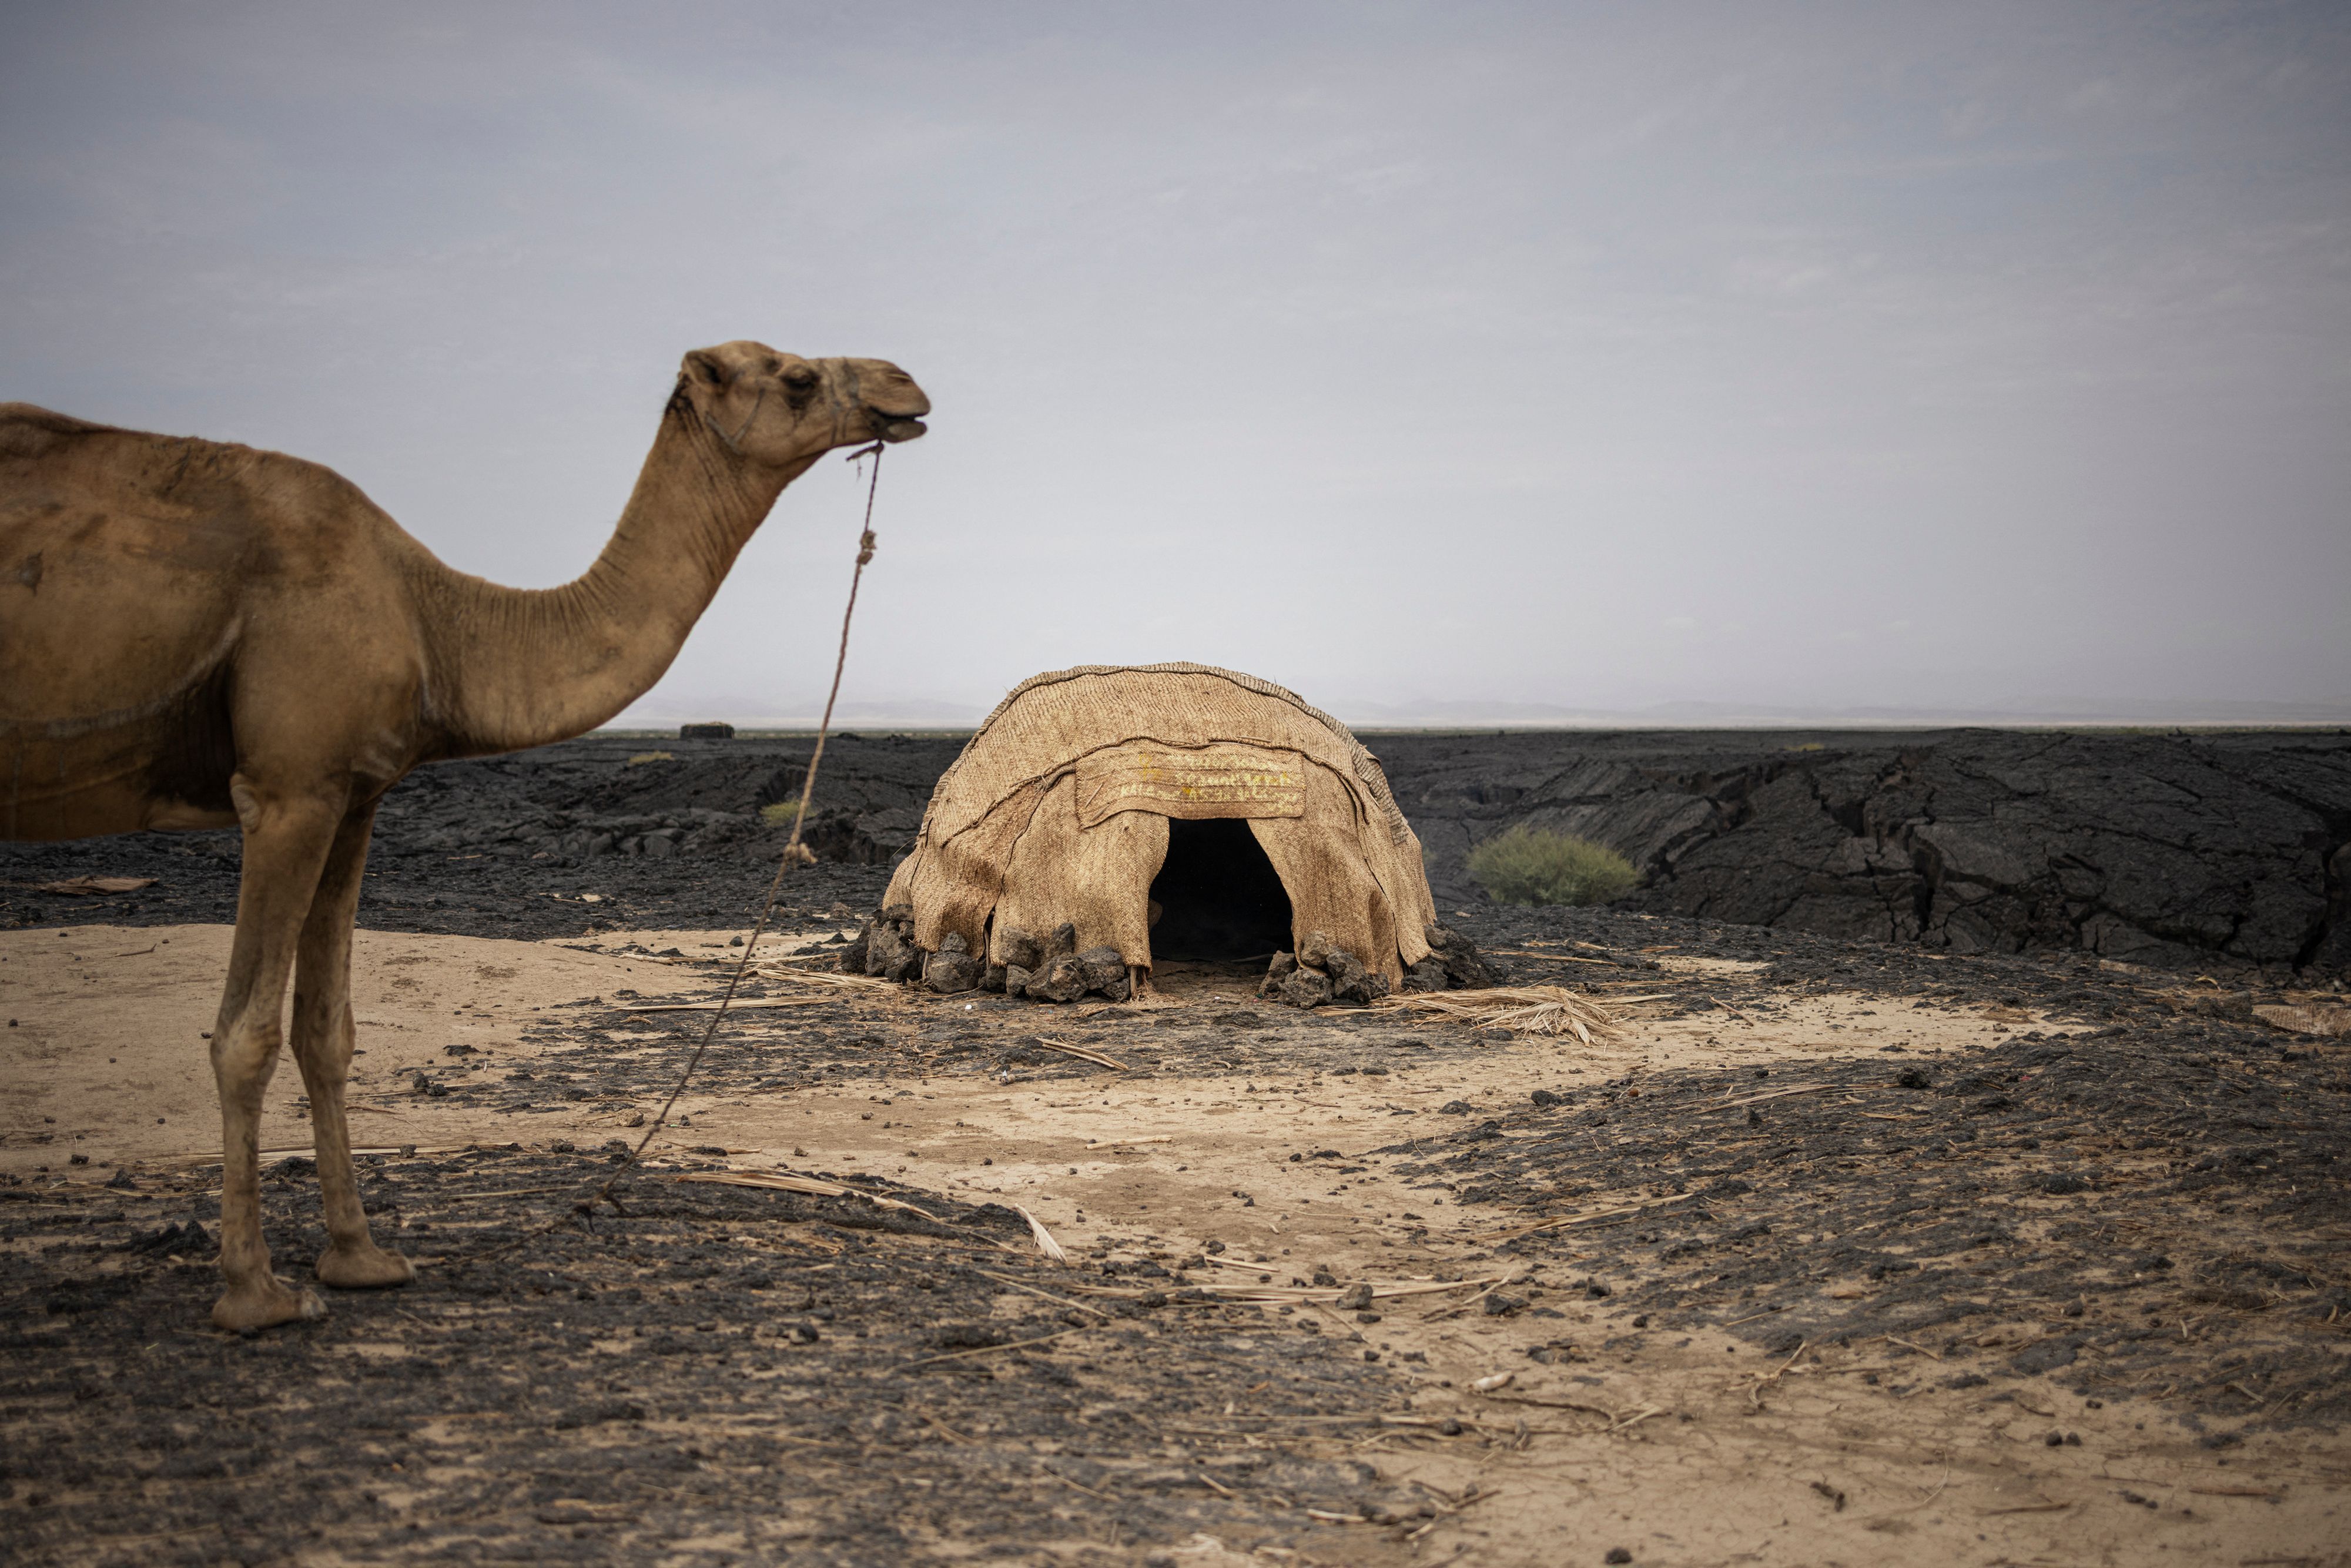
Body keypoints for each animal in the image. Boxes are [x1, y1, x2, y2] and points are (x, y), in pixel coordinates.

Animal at [2, 339, 936, 1335]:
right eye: (795, 377)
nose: (906, 385)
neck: (435, 617)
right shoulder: (287, 787)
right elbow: (244, 1033)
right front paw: (255, 1294)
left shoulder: (353, 794)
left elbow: (326, 1028)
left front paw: (360, 1258)